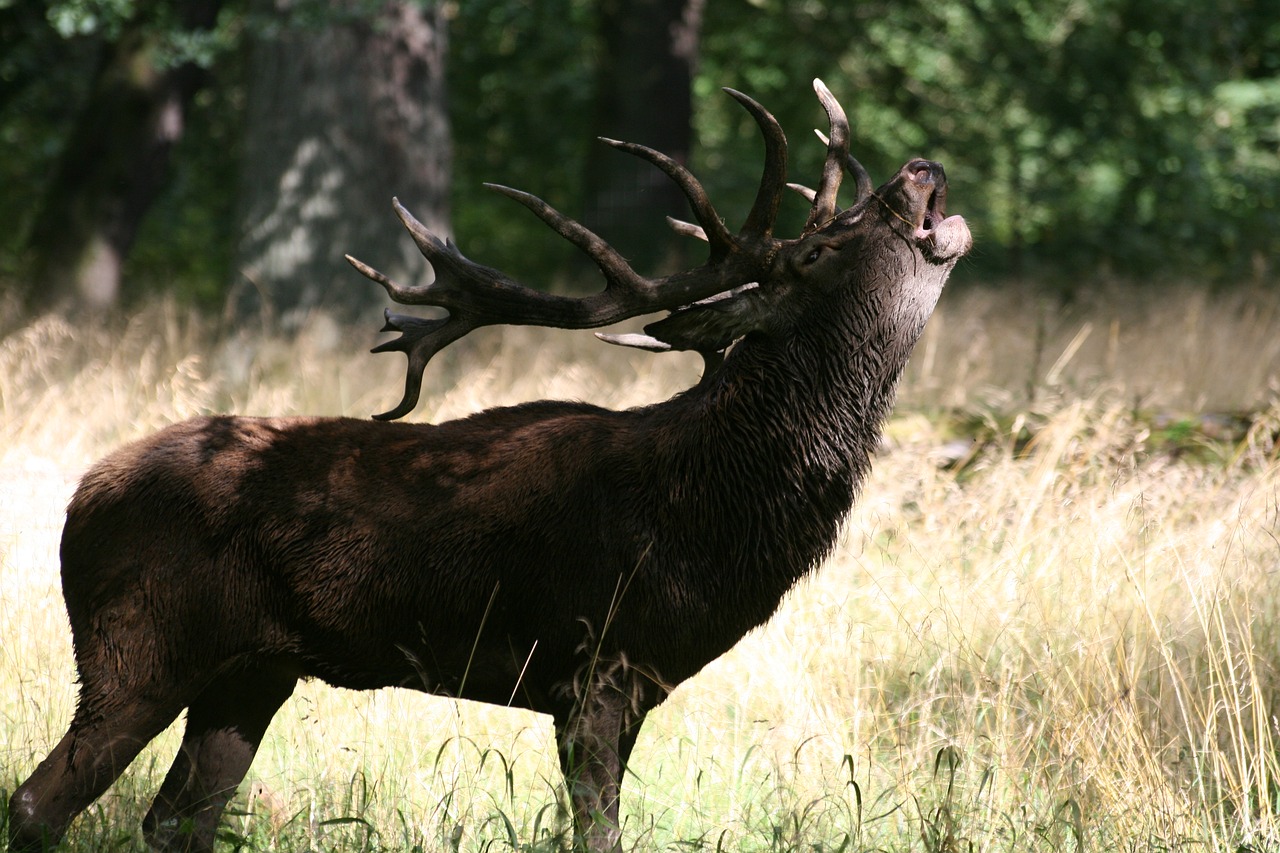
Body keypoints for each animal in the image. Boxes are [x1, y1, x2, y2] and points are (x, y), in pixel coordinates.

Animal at [2, 79, 967, 850]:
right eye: (822, 247)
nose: (921, 168)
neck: (705, 517)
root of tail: (81, 496)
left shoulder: (638, 682)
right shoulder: (593, 666)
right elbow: (596, 835)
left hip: (251, 671)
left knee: (174, 819)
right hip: (137, 643)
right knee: (40, 801)